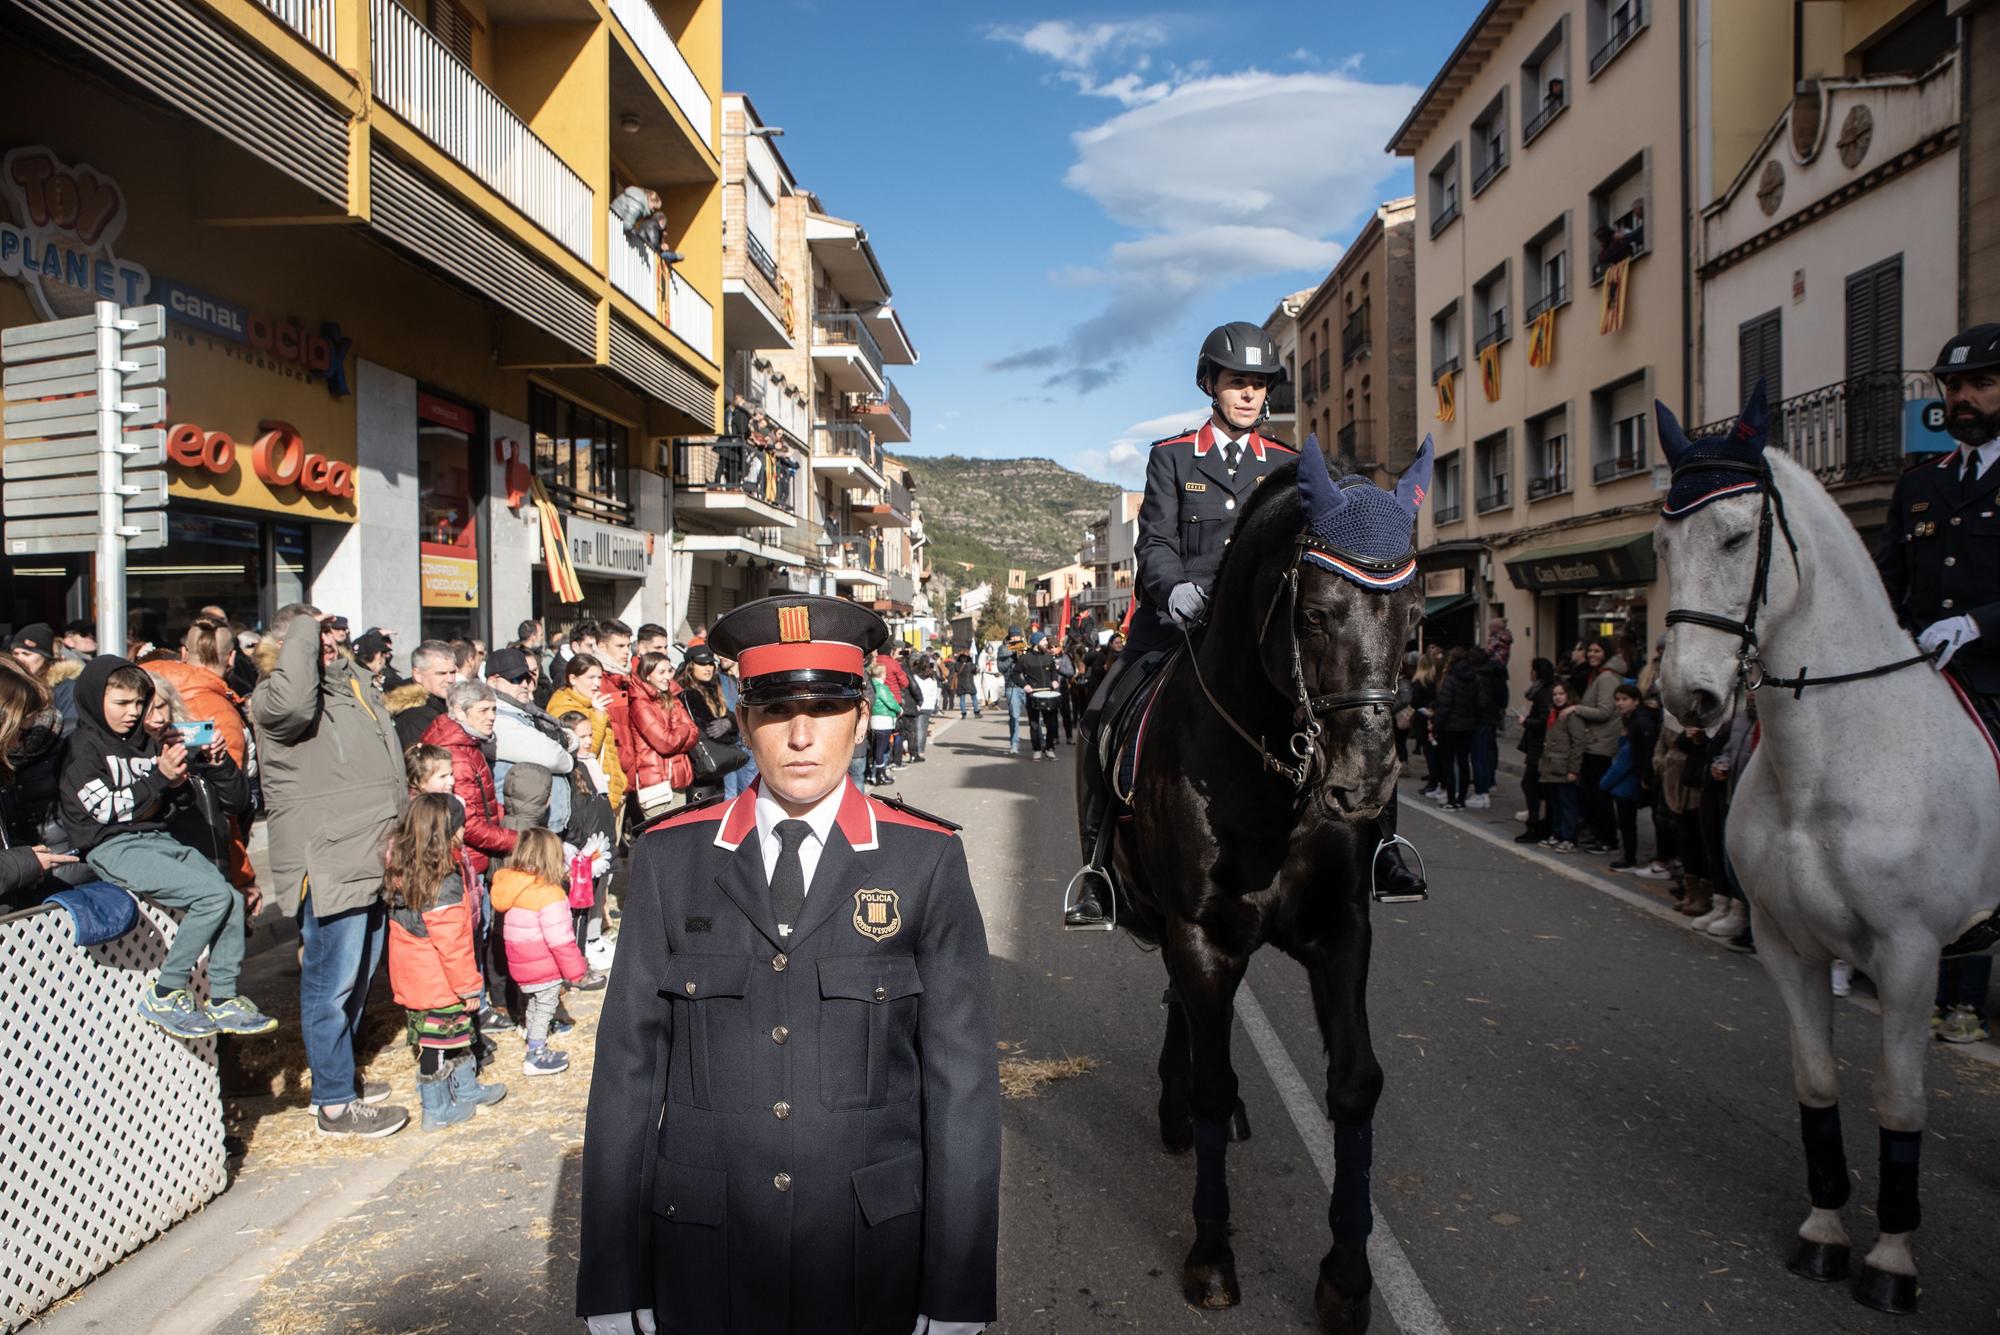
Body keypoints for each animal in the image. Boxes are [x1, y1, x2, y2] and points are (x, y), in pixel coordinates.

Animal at [1088, 435, 1432, 1327]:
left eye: (1416, 622)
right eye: (1313, 614)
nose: (1365, 779)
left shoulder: (1342, 929)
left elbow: (1354, 1084)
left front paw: (1347, 1274)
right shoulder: (1200, 932)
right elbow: (1214, 1081)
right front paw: (1211, 1254)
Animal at [1656, 395, 2000, 1311]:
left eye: (1738, 536)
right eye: (1663, 544)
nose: (1687, 697)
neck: (1831, 757)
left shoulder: (1911, 953)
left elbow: (1900, 1098)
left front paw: (1892, 1258)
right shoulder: (1789, 941)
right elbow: (1816, 1080)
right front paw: (1823, 1233)